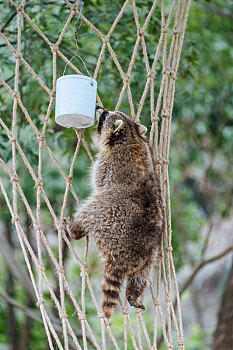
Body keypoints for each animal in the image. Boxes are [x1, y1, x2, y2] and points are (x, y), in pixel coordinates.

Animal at [62, 106, 163, 318]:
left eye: (106, 116)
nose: (99, 107)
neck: (131, 135)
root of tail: (124, 255)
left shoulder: (107, 163)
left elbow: (98, 181)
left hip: (108, 215)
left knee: (91, 208)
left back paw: (74, 230)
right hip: (148, 258)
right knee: (139, 277)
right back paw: (133, 293)